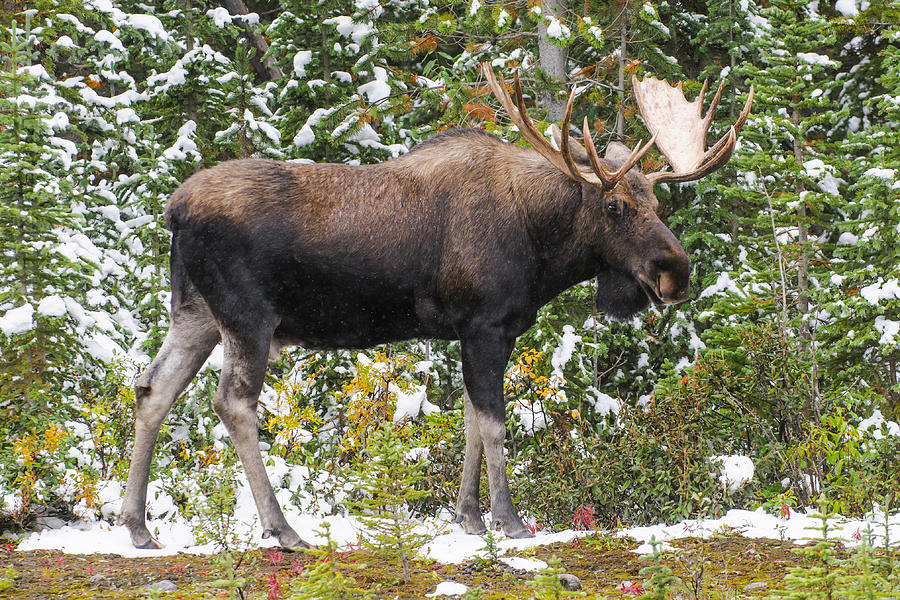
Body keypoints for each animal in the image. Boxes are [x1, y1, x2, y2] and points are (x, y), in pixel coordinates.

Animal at [119, 62, 752, 548]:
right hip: (247, 317)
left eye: (657, 203)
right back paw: (283, 529)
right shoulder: (486, 325)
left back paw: (137, 526)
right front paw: (509, 520)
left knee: (152, 388)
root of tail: (174, 211)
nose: (675, 273)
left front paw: (468, 518)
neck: (541, 245)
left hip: (196, 313)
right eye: (616, 207)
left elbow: (470, 421)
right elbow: (494, 424)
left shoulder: (482, 331)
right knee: (232, 403)